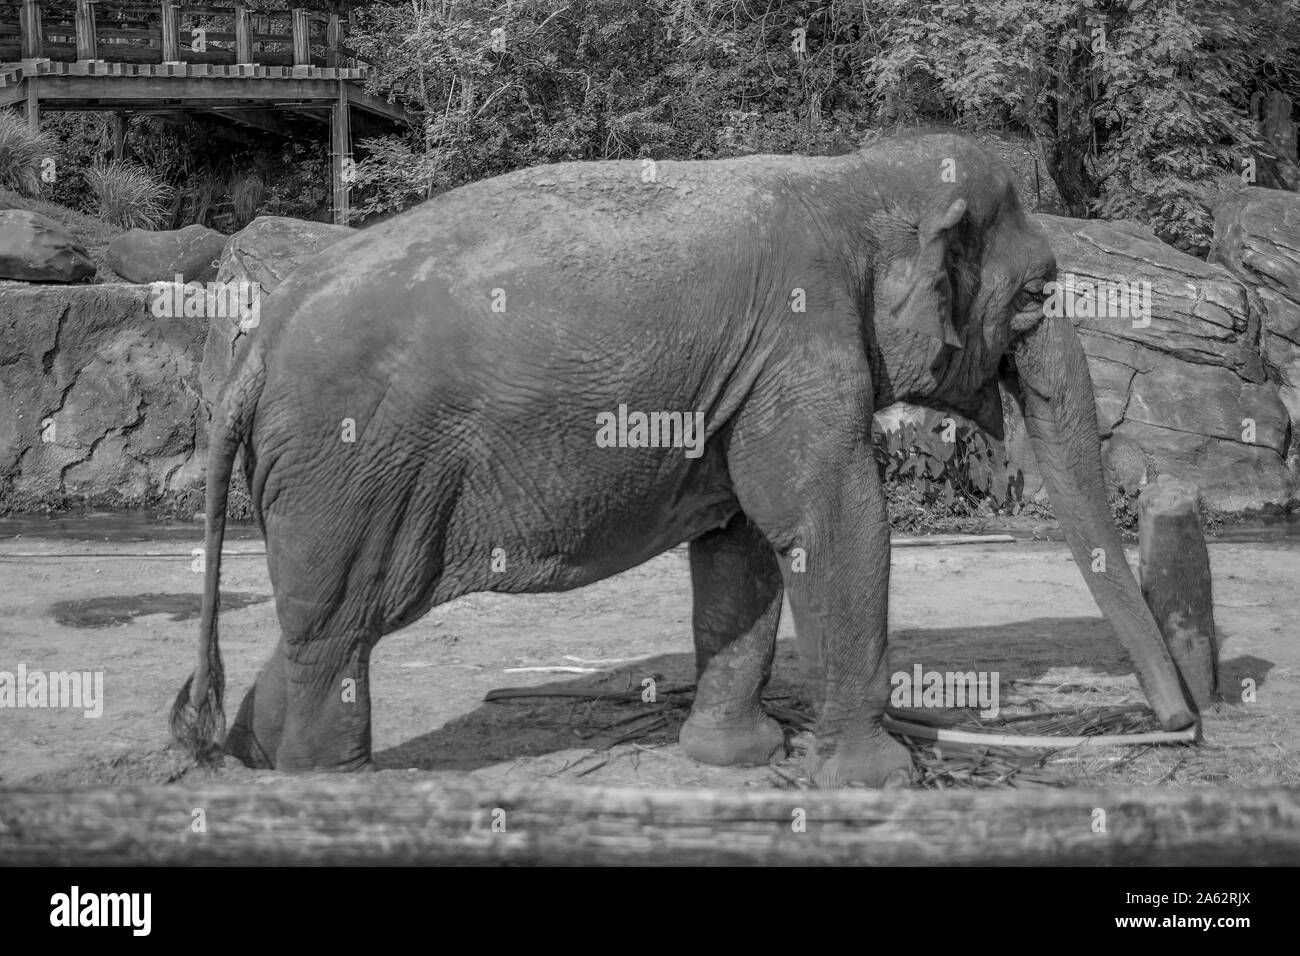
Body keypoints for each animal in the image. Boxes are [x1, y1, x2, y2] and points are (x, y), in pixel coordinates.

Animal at [172, 132, 1196, 785]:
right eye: (1034, 296)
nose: (1179, 725)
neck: (853, 177)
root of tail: (255, 346)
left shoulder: (757, 371)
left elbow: (742, 544)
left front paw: (741, 761)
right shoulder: (802, 338)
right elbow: (830, 519)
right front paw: (882, 778)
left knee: (316, 629)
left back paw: (254, 762)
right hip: (351, 470)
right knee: (336, 634)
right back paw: (329, 786)